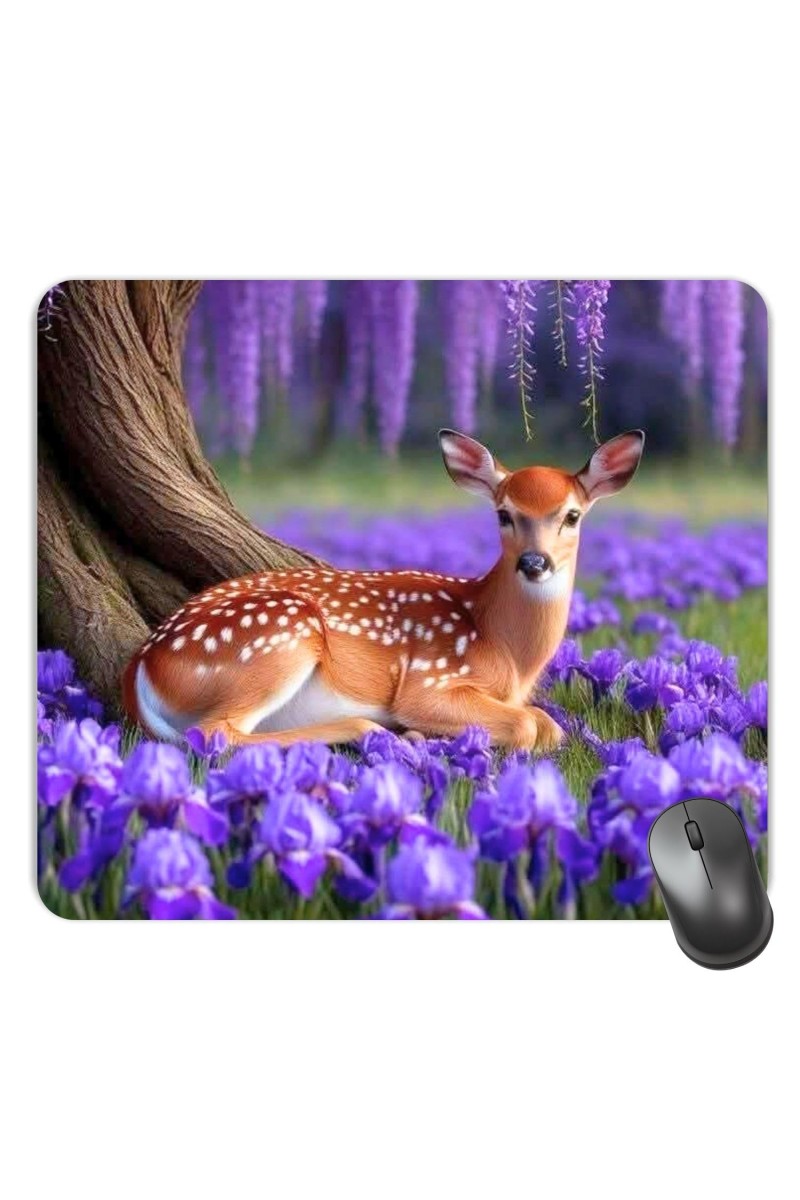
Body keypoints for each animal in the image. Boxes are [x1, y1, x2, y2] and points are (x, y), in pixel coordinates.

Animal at [123, 429, 644, 752]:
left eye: (572, 515)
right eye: (504, 513)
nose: (535, 562)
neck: (502, 645)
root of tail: (140, 664)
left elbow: (547, 724)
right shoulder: (429, 681)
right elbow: (529, 725)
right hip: (278, 637)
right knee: (216, 735)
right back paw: (376, 731)